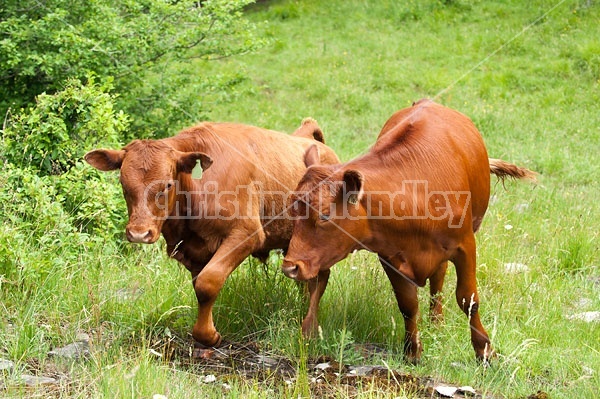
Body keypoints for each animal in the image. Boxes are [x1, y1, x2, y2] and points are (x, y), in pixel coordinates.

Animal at [84, 119, 340, 350]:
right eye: (123, 183)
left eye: (167, 184)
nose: (139, 233)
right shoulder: (192, 249)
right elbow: (201, 289)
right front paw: (205, 333)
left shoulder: (246, 234)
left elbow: (208, 282)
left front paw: (210, 337)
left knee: (318, 280)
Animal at [282, 99, 536, 362]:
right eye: (292, 208)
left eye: (324, 215)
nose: (290, 266)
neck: (415, 200)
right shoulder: (390, 257)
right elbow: (408, 305)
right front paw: (412, 351)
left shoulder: (466, 246)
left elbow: (468, 300)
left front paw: (484, 350)